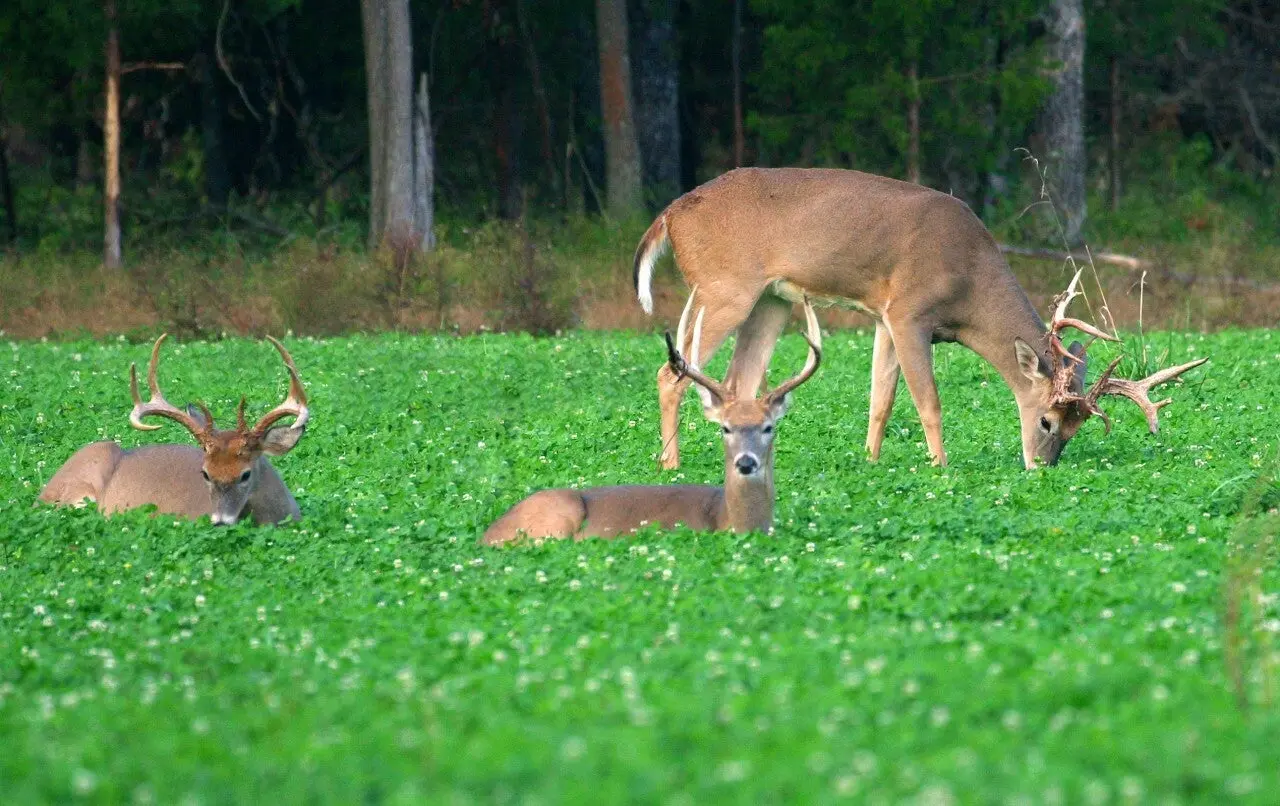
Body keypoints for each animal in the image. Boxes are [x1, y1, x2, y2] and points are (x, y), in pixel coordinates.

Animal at [483, 290, 824, 550]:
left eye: (768, 427)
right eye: (725, 428)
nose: (746, 462)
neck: (728, 519)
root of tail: (487, 534)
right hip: (557, 517)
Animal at [640, 168, 1208, 473]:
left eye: (1077, 427)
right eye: (1047, 419)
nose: (1042, 465)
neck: (969, 278)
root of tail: (668, 215)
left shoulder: (884, 318)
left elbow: (881, 400)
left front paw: (870, 461)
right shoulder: (910, 311)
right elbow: (927, 401)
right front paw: (940, 466)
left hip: (771, 301)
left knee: (738, 382)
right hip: (724, 287)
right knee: (672, 372)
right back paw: (670, 464)